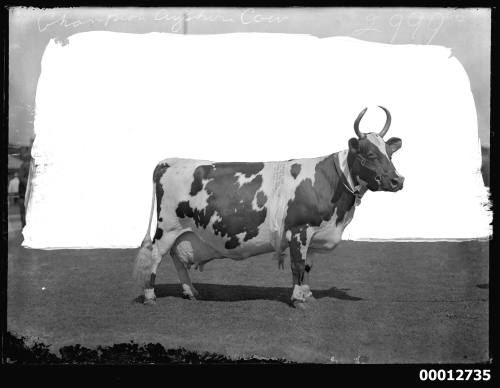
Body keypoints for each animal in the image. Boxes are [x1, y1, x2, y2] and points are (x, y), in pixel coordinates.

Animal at [132, 104, 402, 308]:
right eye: (369, 154)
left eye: (390, 153)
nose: (397, 180)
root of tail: (170, 161)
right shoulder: (300, 230)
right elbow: (297, 265)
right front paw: (298, 299)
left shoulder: (314, 235)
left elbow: (307, 265)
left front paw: (308, 294)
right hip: (168, 227)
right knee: (155, 256)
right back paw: (150, 296)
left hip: (183, 232)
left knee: (178, 257)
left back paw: (190, 291)